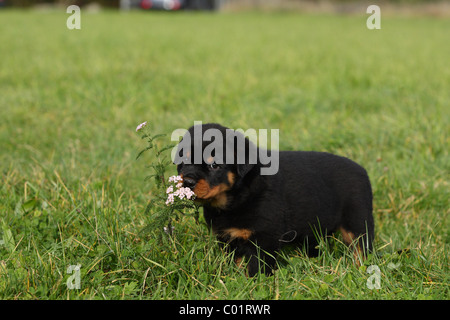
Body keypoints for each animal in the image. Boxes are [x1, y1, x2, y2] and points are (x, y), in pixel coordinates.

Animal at [174, 122, 374, 276]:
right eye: (184, 161)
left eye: (214, 165)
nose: (188, 181)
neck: (235, 198)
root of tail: (362, 170)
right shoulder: (227, 239)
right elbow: (235, 262)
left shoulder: (264, 238)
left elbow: (257, 268)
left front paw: (253, 284)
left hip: (358, 221)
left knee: (362, 248)